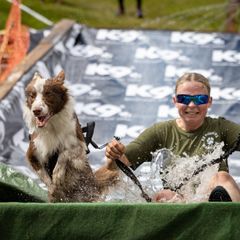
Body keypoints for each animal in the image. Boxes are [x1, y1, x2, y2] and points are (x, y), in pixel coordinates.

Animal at [23, 70, 118, 202]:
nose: (36, 111)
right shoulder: (32, 153)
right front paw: (52, 187)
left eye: (48, 94)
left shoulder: (80, 146)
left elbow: (65, 153)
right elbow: (43, 175)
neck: (51, 127)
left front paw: (57, 173)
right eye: (32, 96)